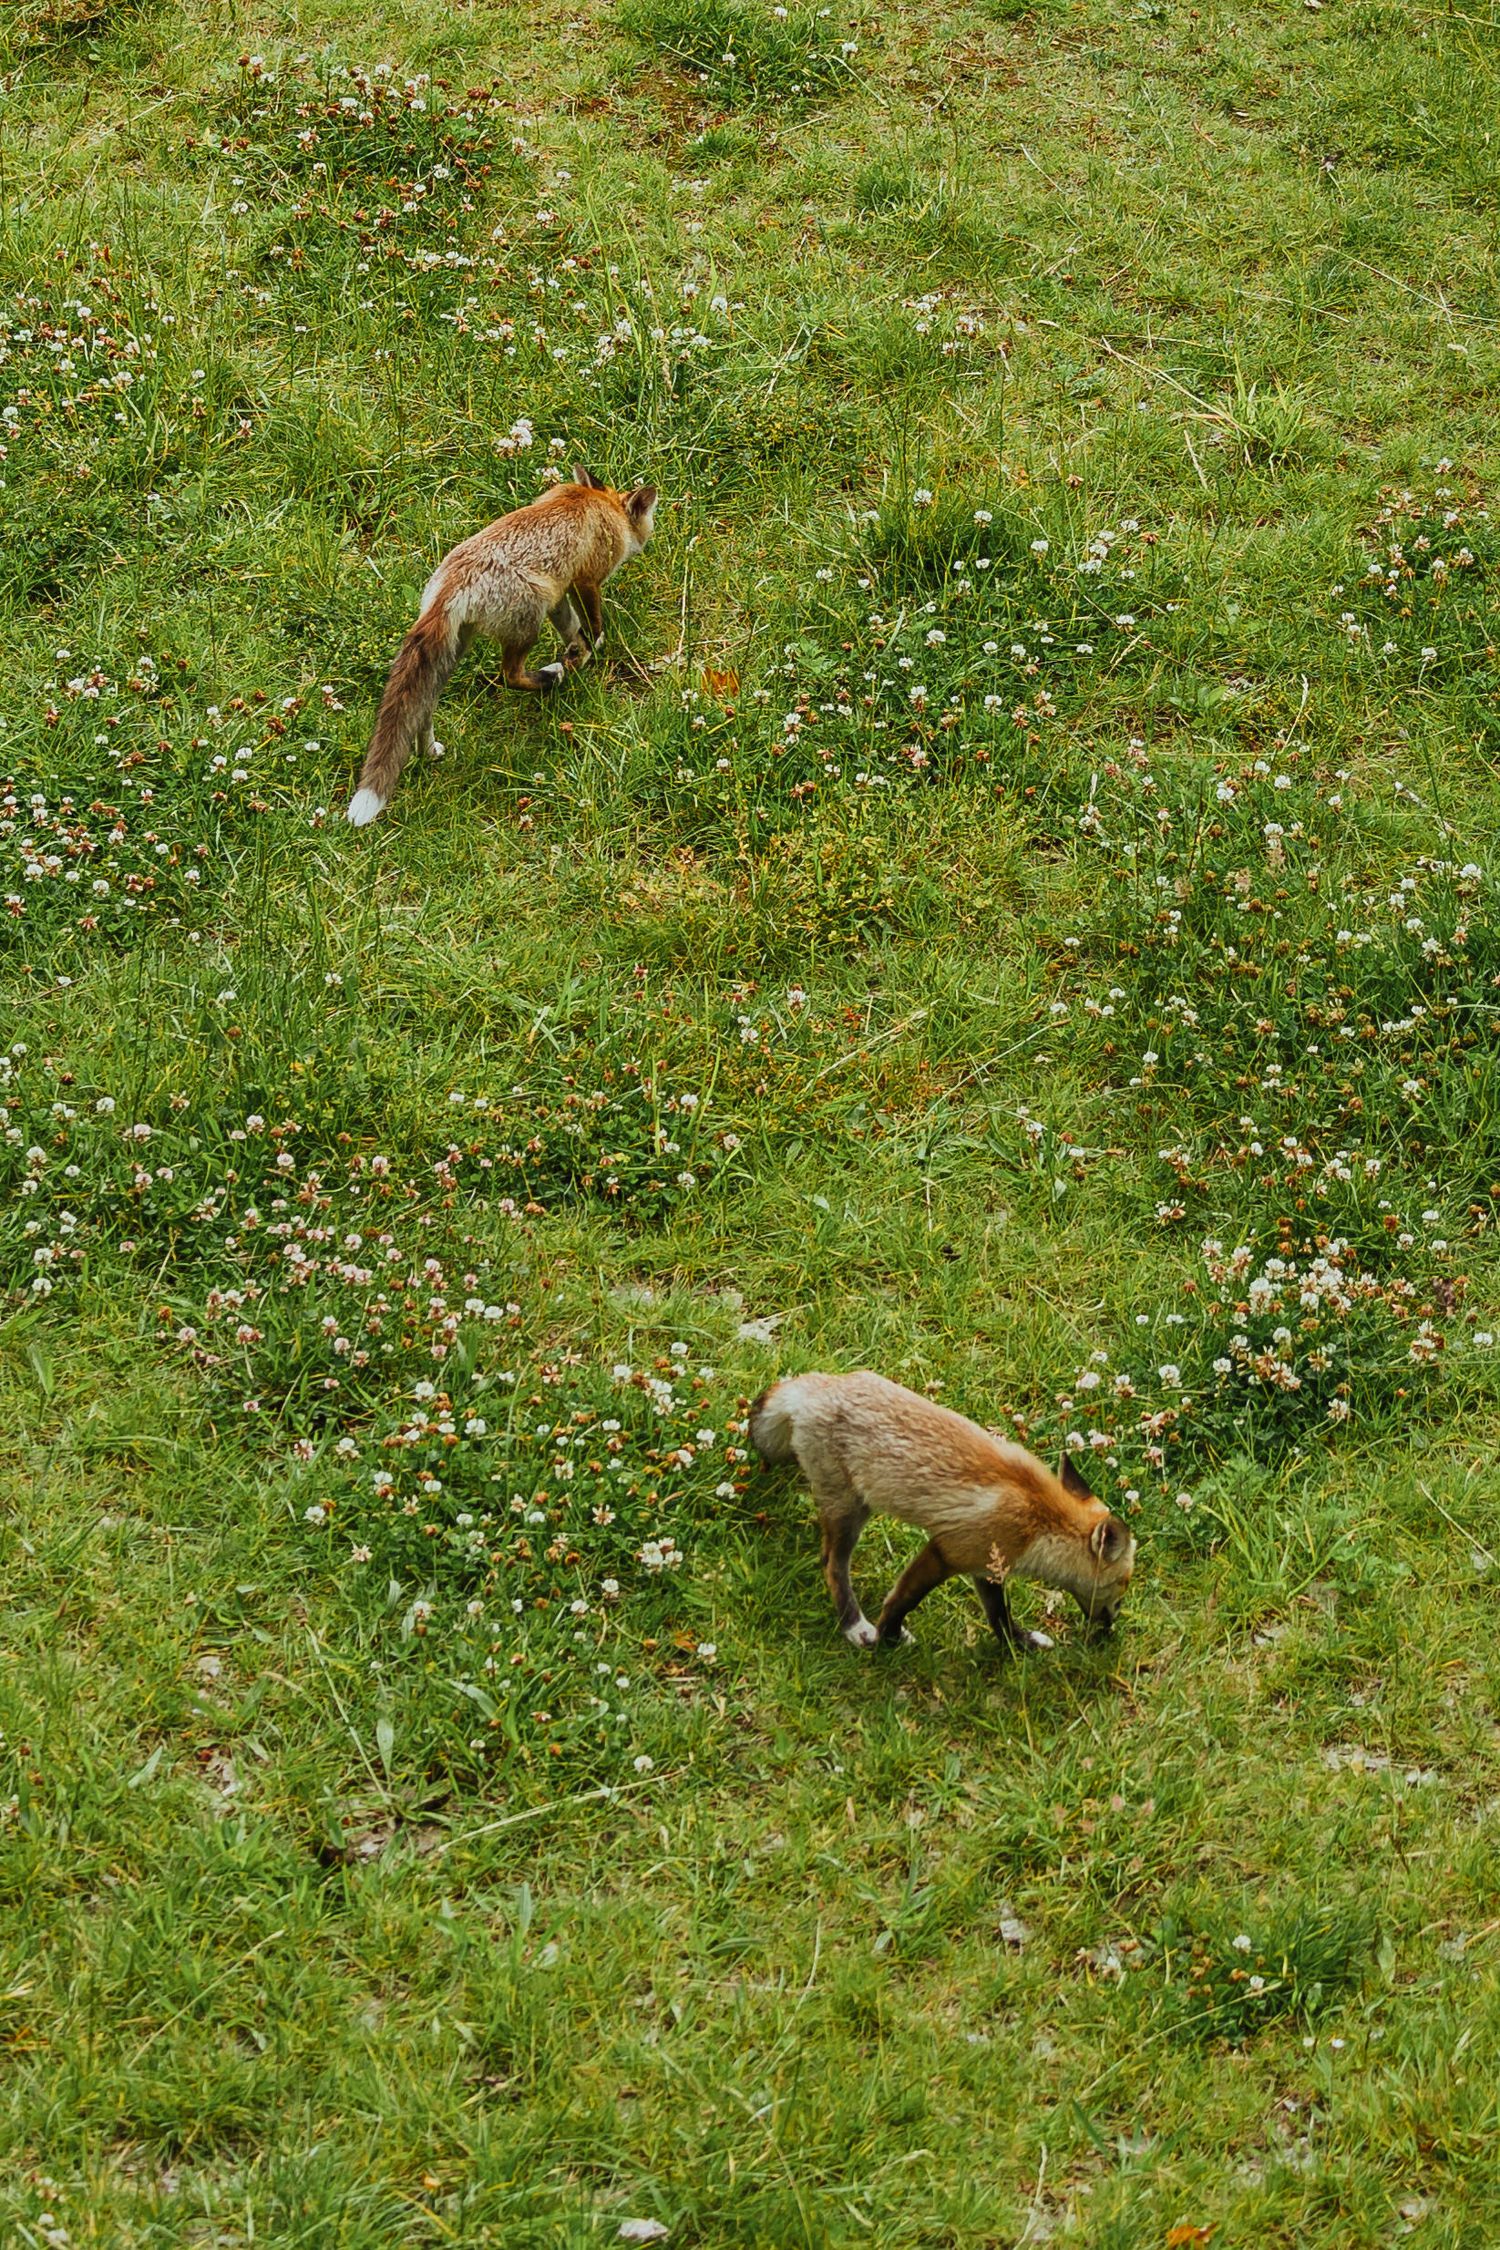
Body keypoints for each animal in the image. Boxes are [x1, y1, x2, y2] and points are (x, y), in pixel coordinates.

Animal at [346, 466, 657, 827]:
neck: (599, 503)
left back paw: (428, 751)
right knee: (510, 675)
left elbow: (572, 630)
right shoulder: (585, 581)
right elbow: (592, 626)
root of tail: (450, 585)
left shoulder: (558, 597)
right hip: (528, 624)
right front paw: (589, 651)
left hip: (455, 651)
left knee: (423, 708)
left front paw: (578, 654)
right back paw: (550, 677)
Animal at [749, 1370, 1135, 1654]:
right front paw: (888, 1637)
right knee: (832, 1564)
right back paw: (853, 1625)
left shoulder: (987, 1568)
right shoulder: (946, 1552)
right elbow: (902, 1601)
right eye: (1123, 1585)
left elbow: (1000, 1617)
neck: (1038, 1519)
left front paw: (1020, 1644)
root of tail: (816, 1384)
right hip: (849, 1511)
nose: (1111, 1627)